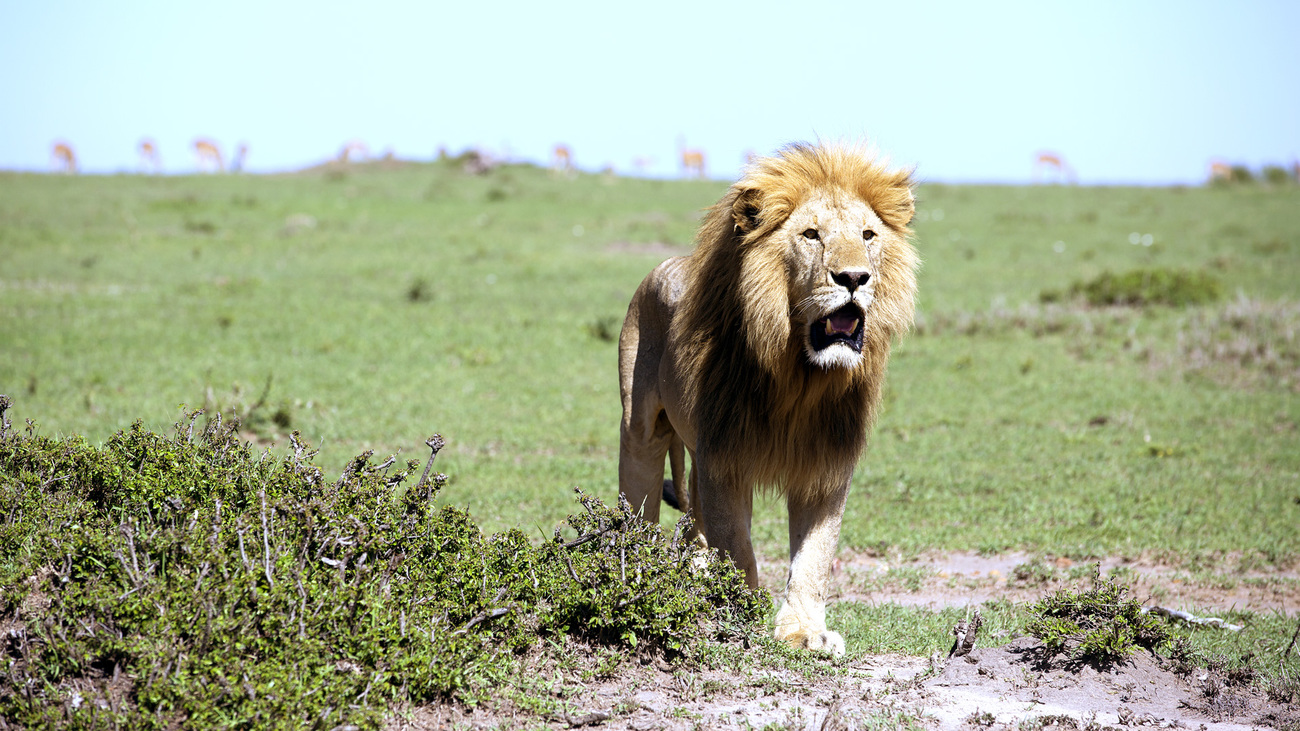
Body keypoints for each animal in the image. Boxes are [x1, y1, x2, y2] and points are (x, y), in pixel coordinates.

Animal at [616, 142, 915, 655]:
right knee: (641, 507)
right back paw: (638, 577)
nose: (854, 277)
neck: (801, 377)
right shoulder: (725, 459)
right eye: (811, 235)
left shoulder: (826, 467)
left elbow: (815, 556)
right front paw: (743, 616)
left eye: (868, 235)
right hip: (641, 431)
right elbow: (737, 545)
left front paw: (804, 631)